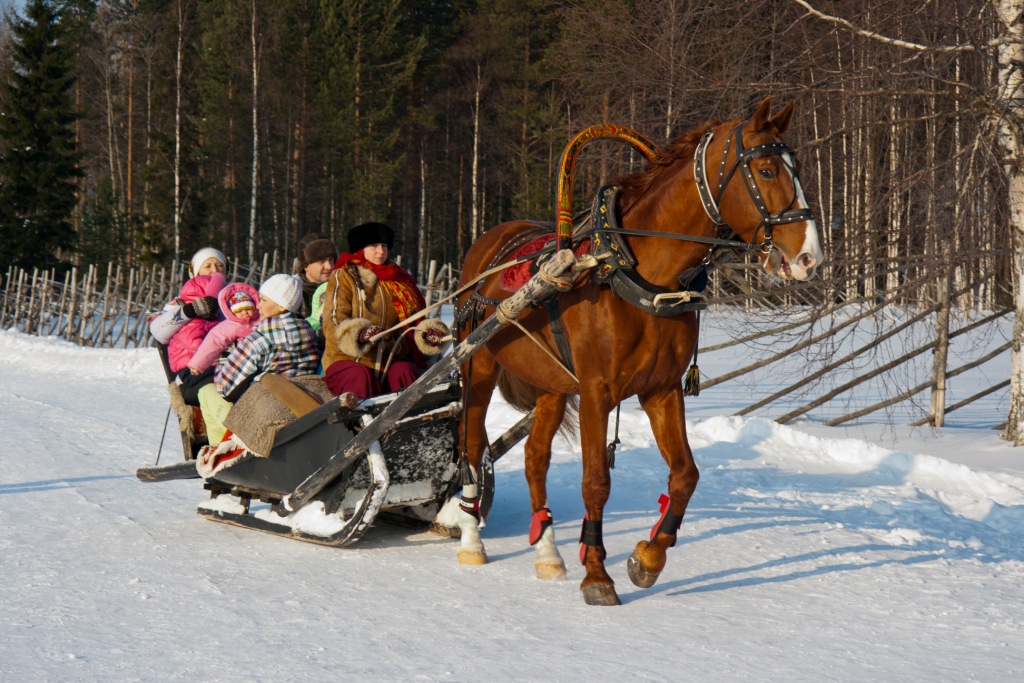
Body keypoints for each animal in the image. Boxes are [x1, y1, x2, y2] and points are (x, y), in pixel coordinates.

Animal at [452, 98, 819, 606]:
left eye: (797, 167)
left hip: (551, 385)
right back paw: (471, 540)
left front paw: (648, 557)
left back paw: (548, 552)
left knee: (534, 458)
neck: (635, 271)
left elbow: (685, 475)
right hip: (479, 365)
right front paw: (596, 573)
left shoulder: (662, 390)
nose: (808, 256)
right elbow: (595, 481)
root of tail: (491, 240)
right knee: (471, 447)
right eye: (765, 170)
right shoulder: (596, 392)